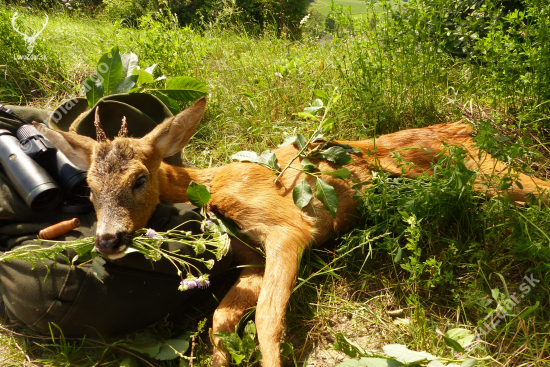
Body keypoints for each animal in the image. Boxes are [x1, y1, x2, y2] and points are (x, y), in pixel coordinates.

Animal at [36, 98, 548, 367]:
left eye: (140, 178)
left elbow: (268, 319)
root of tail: (464, 127)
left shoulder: (288, 228)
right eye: (88, 186)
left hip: (487, 172)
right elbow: (220, 322)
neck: (215, 193)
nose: (107, 240)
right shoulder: (250, 263)